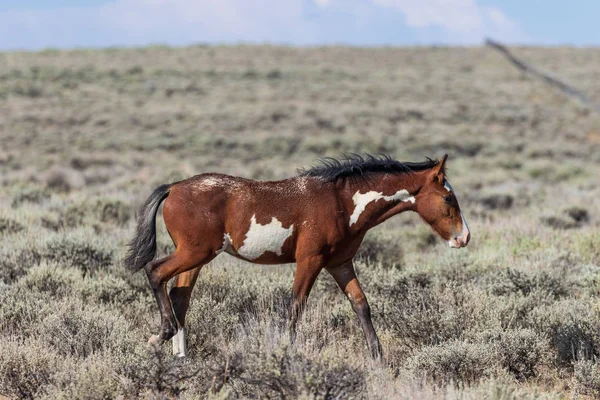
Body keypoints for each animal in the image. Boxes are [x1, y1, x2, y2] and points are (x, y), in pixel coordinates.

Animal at [125, 153, 468, 360]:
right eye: (448, 198)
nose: (463, 238)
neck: (342, 202)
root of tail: (174, 188)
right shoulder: (310, 261)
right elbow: (296, 307)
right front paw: (287, 352)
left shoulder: (340, 264)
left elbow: (361, 305)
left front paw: (378, 358)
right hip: (195, 252)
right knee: (155, 272)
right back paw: (161, 336)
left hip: (196, 259)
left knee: (180, 297)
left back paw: (181, 357)